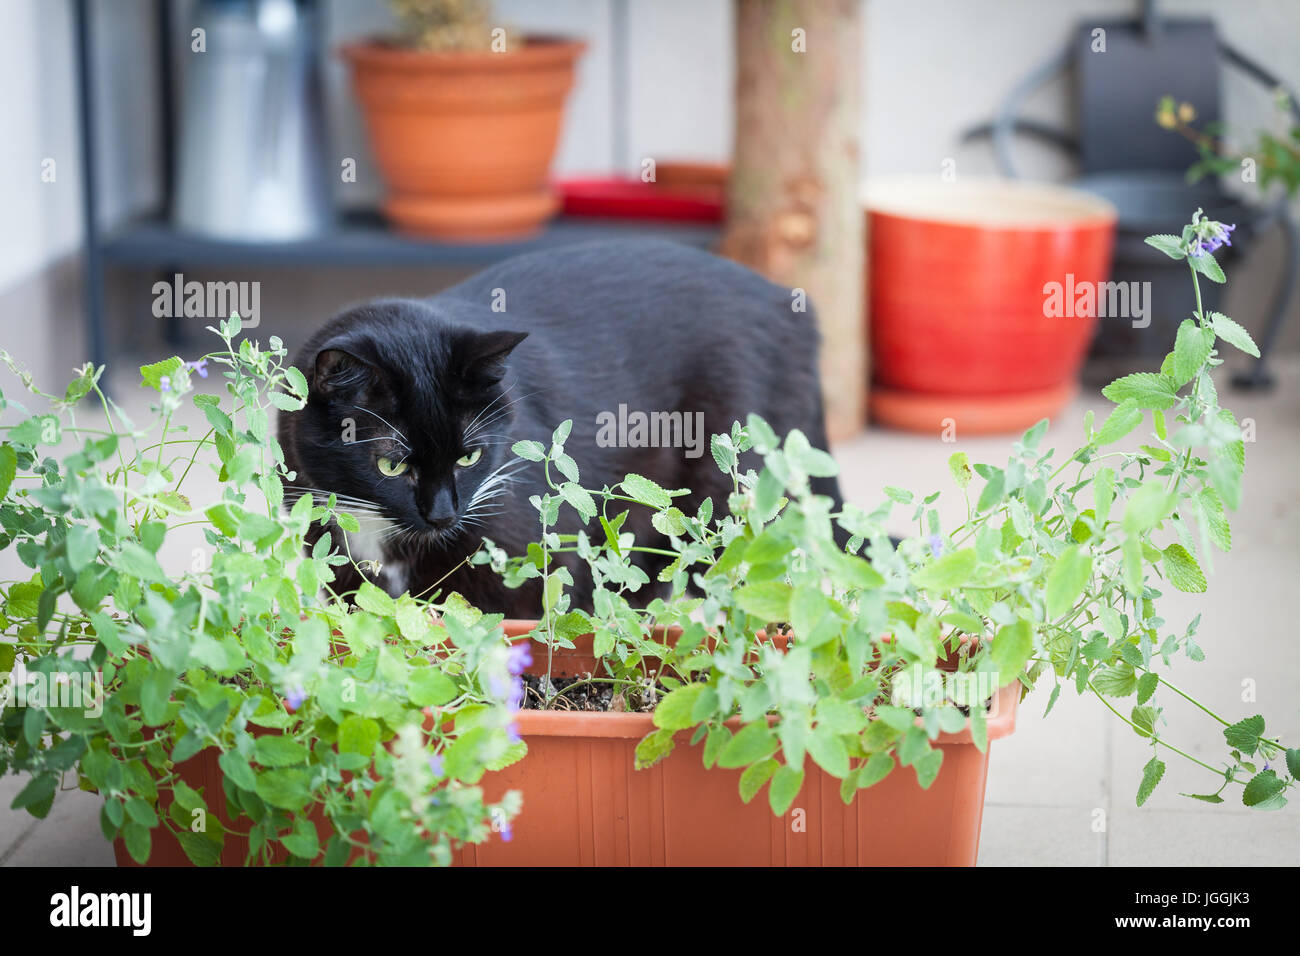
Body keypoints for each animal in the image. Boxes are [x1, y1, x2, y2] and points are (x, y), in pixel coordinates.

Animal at [280, 235, 847, 616]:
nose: (444, 515)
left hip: (728, 494)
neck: (378, 528)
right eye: (392, 465)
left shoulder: (526, 563)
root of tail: (792, 307)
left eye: (469, 456)